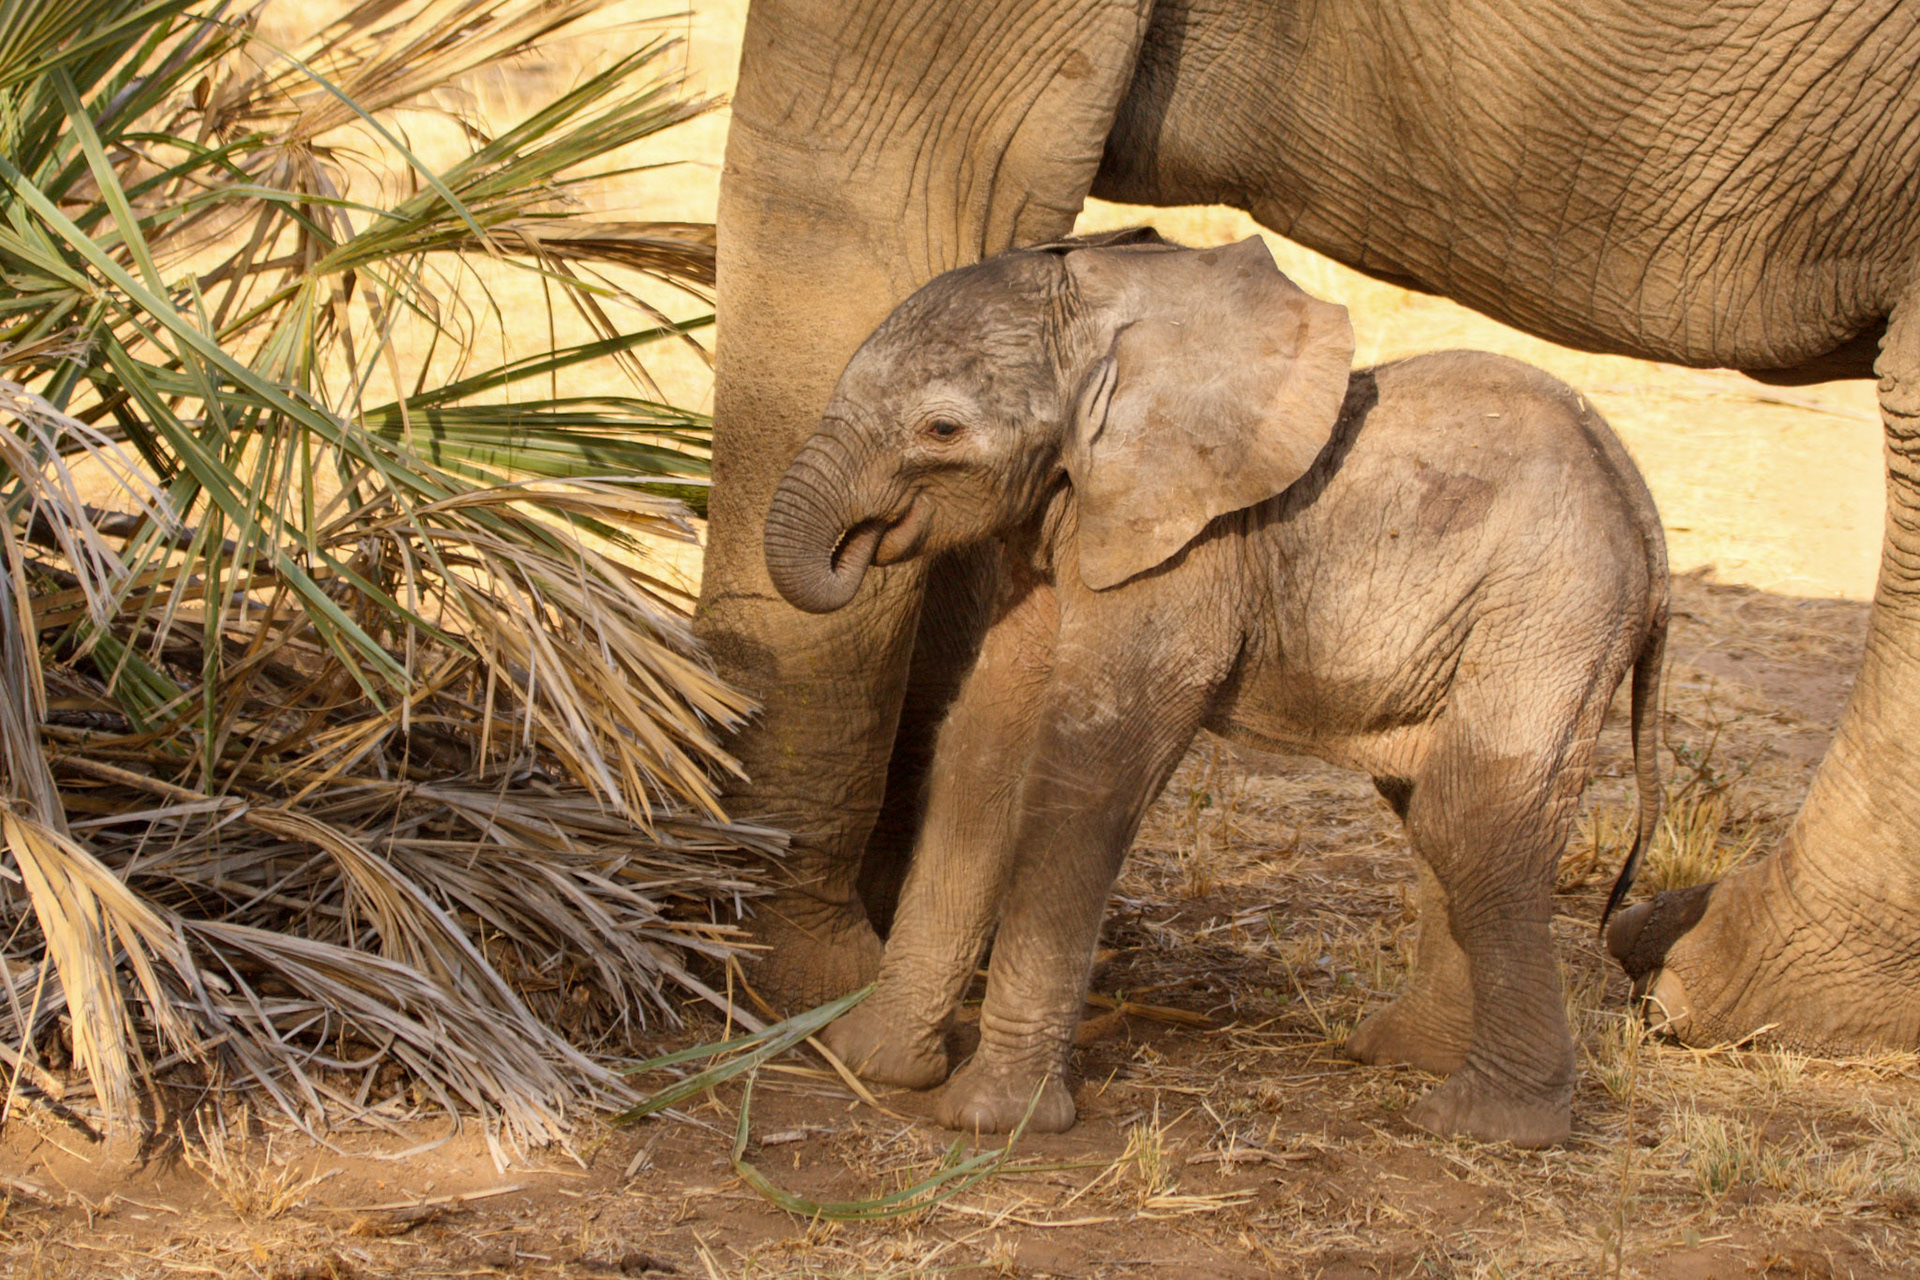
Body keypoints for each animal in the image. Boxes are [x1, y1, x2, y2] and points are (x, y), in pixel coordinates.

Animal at [699, 0, 1920, 1052]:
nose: (860, 543)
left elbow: (873, 205)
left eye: (943, 428)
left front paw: (786, 982)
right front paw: (871, 1025)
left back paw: (1700, 984)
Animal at [763, 234, 1669, 1147]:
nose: (863, 542)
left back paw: (1486, 1121)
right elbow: (983, 748)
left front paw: (995, 1120)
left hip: (1555, 603)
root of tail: (1641, 503)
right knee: (1432, 812)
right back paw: (1407, 1056)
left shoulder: (1185, 556)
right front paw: (875, 1064)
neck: (1109, 325)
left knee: (1472, 821)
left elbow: (1085, 772)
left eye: (942, 428)